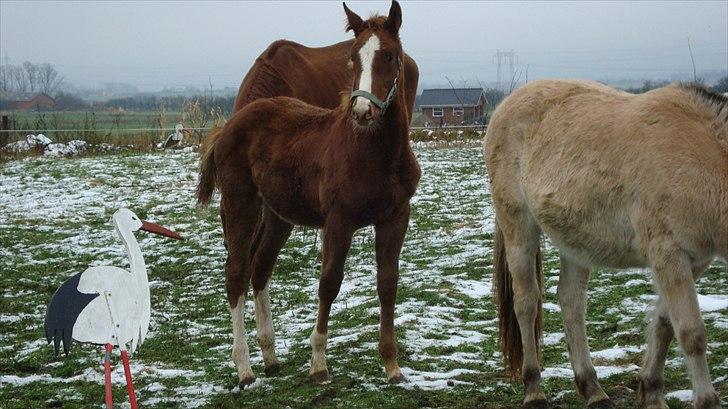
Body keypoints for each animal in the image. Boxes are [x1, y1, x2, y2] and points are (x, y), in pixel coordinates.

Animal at [196, 0, 420, 388]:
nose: (363, 112)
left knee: (261, 266)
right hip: (241, 203)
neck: (376, 153)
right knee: (237, 272)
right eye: (352, 57)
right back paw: (244, 368)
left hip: (278, 214)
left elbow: (388, 283)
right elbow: (329, 283)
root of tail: (229, 125)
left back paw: (270, 358)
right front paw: (318, 363)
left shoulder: (395, 216)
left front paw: (392, 365)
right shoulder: (339, 221)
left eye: (390, 55)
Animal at [484, 79, 728, 408]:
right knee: (527, 303)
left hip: (574, 241)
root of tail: (506, 104)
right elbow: (691, 333)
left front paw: (651, 391)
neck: (698, 155)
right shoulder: (668, 254)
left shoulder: (695, 260)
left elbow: (665, 323)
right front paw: (706, 400)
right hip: (518, 227)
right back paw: (534, 390)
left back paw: (592, 389)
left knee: (571, 301)